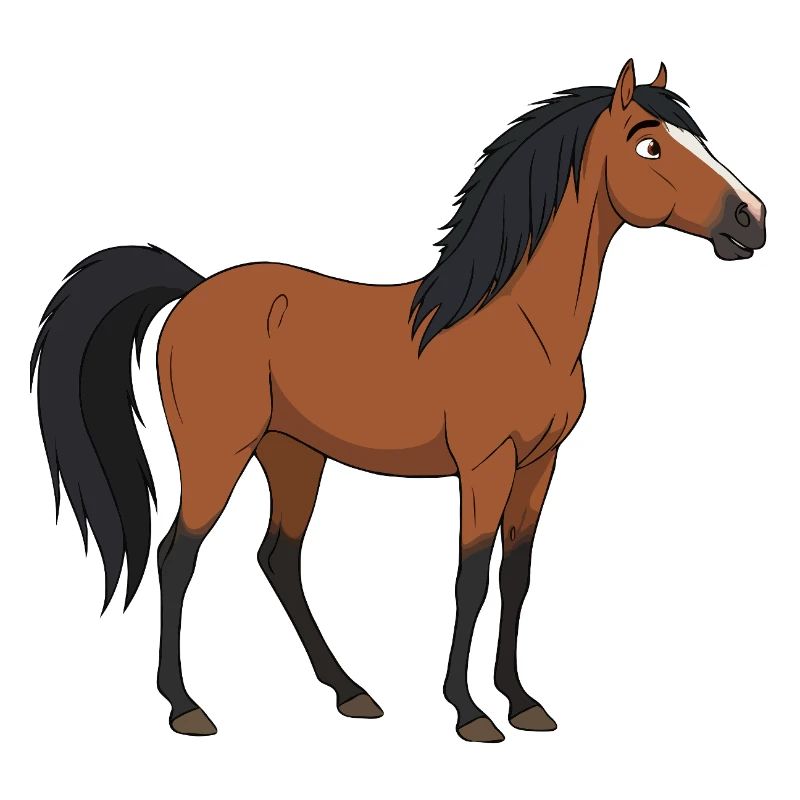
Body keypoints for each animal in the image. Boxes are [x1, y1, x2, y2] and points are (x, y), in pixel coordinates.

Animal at [30, 59, 766, 742]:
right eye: (649, 145)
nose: (752, 219)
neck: (516, 322)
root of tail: (194, 289)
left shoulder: (540, 464)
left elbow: (517, 576)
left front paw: (522, 702)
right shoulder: (484, 465)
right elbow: (471, 578)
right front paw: (469, 711)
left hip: (293, 455)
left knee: (279, 558)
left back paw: (349, 691)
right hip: (218, 454)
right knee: (178, 557)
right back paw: (185, 706)